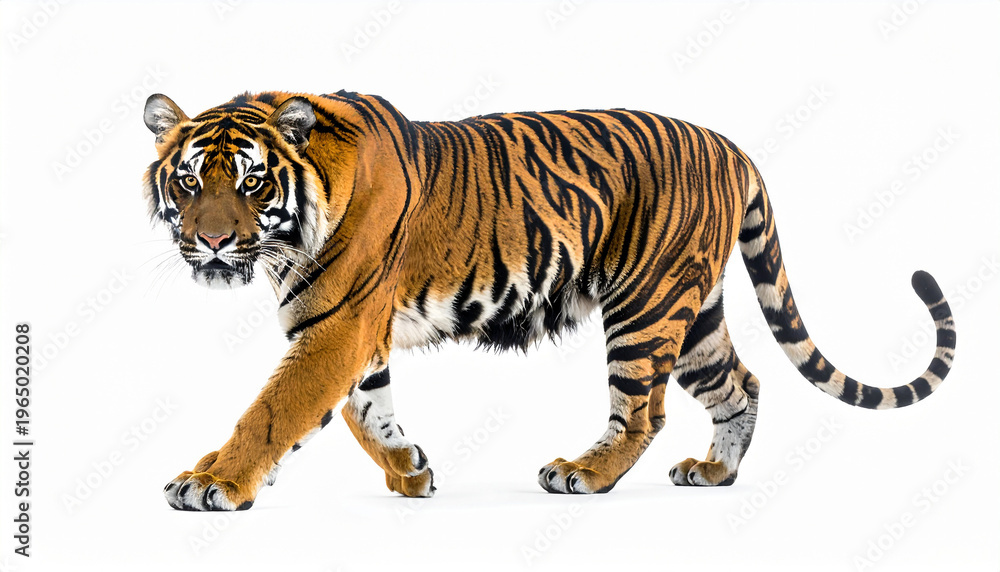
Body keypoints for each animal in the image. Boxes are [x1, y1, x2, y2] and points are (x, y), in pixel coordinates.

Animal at [142, 90, 956, 511]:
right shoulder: (352, 332)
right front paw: (409, 469)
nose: (212, 242)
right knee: (740, 383)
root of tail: (733, 146)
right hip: (695, 312)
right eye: (189, 181)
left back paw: (584, 473)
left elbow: (276, 410)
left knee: (644, 411)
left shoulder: (338, 324)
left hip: (645, 304)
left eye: (251, 182)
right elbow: (361, 410)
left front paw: (213, 481)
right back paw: (714, 472)